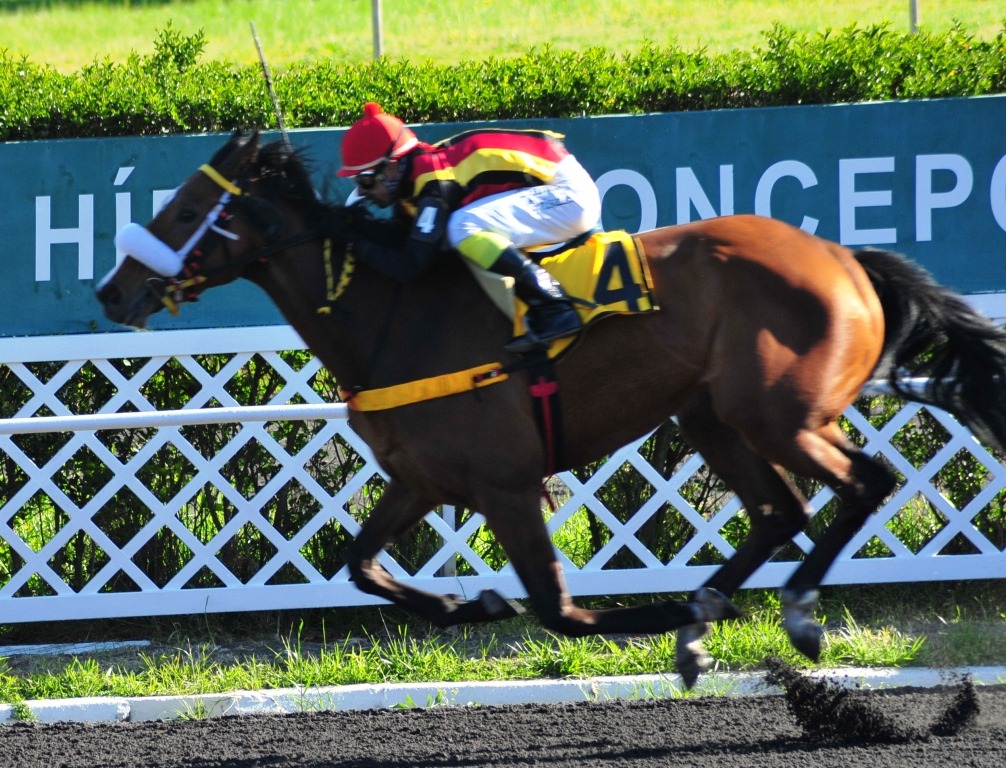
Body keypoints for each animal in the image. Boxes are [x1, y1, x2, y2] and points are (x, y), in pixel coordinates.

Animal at [97, 130, 1006, 688]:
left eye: (184, 212)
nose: (112, 291)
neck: (394, 316)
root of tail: (842, 256)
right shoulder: (423, 480)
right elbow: (360, 564)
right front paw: (467, 604)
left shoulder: (506, 484)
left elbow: (556, 609)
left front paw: (639, 613)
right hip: (710, 414)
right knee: (781, 510)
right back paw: (706, 613)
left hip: (778, 413)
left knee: (865, 482)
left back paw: (790, 612)